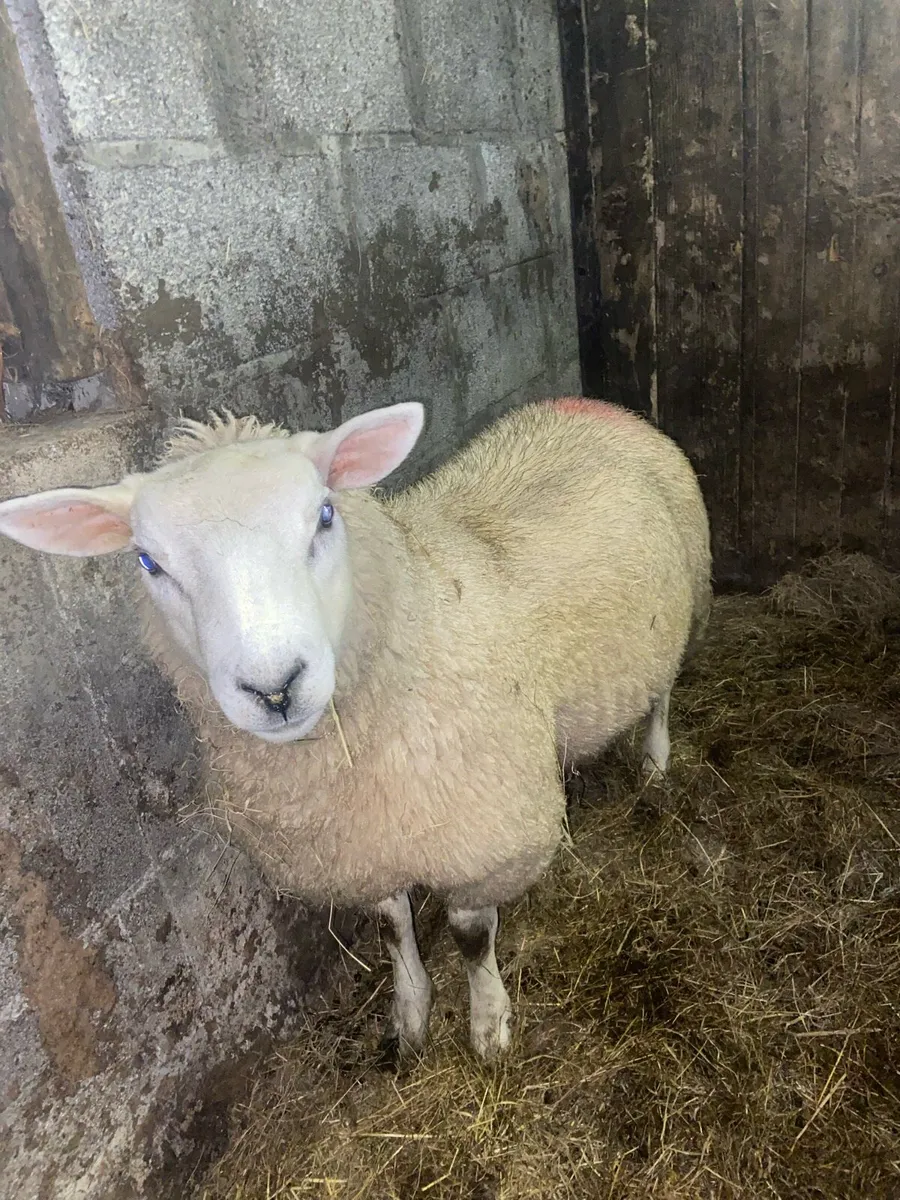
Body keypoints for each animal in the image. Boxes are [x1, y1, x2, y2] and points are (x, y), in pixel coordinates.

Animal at [0, 397, 711, 1060]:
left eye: (324, 515)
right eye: (148, 562)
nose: (275, 687)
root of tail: (590, 404)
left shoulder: (482, 838)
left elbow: (471, 937)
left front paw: (488, 1026)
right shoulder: (359, 847)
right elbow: (394, 930)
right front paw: (410, 1017)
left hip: (685, 603)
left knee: (661, 694)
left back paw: (655, 763)